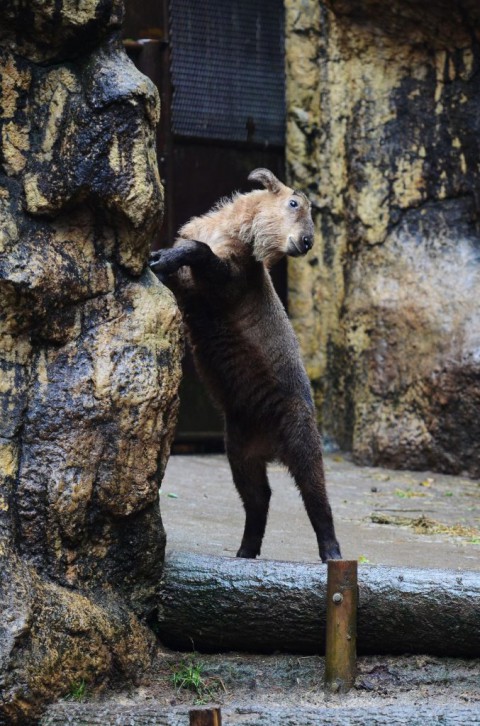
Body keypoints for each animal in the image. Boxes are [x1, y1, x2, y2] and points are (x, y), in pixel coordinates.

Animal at [150, 169, 342, 564]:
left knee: (315, 494)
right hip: (239, 453)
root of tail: (270, 446)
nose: (306, 241)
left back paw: (331, 551)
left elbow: (201, 256)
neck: (229, 230)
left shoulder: (228, 280)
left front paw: (165, 256)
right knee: (258, 497)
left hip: (299, 435)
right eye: (294, 202)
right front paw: (160, 256)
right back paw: (245, 550)